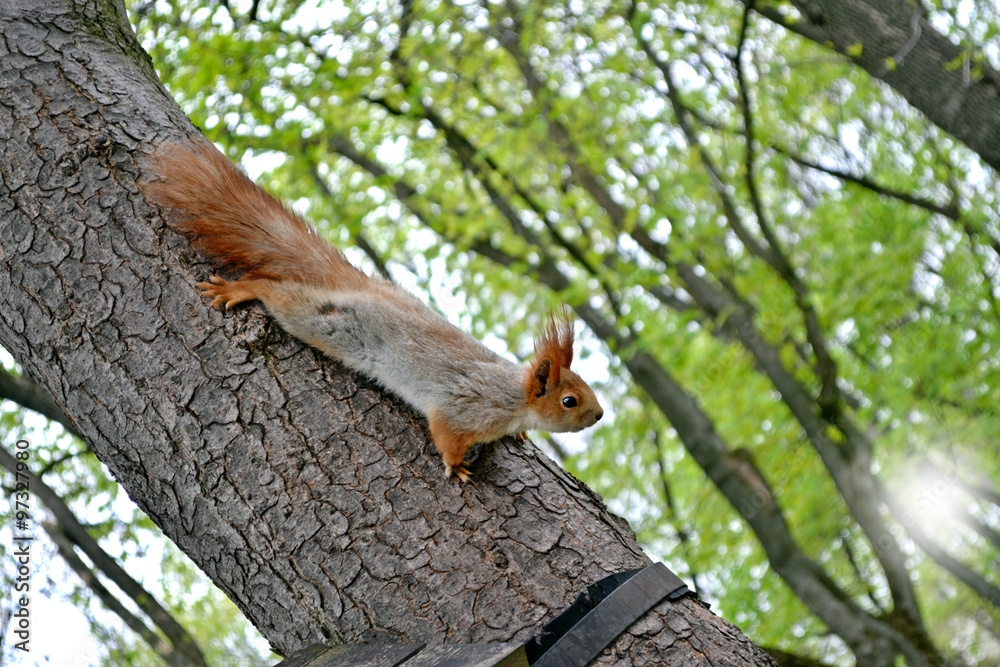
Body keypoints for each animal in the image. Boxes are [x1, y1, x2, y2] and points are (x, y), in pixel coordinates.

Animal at [141, 140, 603, 480]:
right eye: (569, 400)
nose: (598, 415)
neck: (511, 396)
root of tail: (363, 288)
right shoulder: (461, 409)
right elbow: (445, 436)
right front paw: (456, 466)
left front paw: (523, 438)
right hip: (325, 322)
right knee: (277, 294)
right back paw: (242, 289)